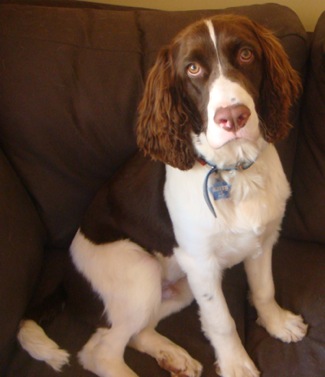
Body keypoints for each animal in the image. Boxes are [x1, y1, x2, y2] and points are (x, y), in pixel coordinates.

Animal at [17, 13, 306, 376]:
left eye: (246, 54)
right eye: (192, 69)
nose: (233, 117)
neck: (234, 171)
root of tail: (67, 282)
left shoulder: (262, 240)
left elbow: (264, 289)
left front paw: (277, 323)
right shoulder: (201, 264)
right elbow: (221, 321)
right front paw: (236, 364)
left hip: (178, 288)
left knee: (136, 332)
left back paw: (173, 356)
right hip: (140, 273)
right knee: (99, 351)